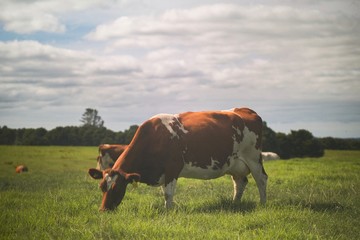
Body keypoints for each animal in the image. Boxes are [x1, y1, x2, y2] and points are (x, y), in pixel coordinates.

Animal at [87, 108, 268, 211]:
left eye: (117, 188)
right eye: (102, 187)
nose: (103, 210)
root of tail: (245, 110)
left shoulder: (172, 168)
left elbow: (168, 193)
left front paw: (168, 212)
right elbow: (165, 192)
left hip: (253, 157)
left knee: (261, 179)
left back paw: (262, 203)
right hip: (235, 163)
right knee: (240, 182)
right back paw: (234, 203)